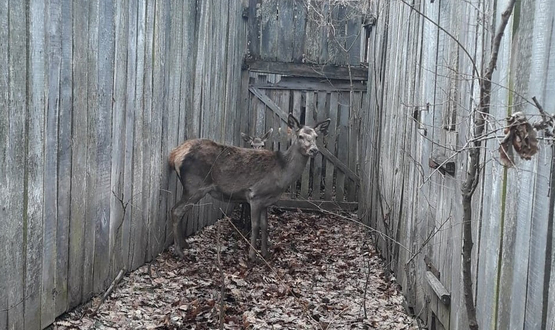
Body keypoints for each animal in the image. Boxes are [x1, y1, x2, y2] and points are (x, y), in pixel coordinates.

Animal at [169, 114, 330, 260]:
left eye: (316, 136)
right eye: (301, 136)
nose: (314, 150)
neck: (281, 172)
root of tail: (175, 154)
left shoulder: (267, 200)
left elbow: (265, 225)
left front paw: (265, 253)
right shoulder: (255, 195)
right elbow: (255, 225)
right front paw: (252, 256)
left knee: (180, 211)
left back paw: (184, 244)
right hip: (194, 186)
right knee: (176, 210)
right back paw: (180, 252)